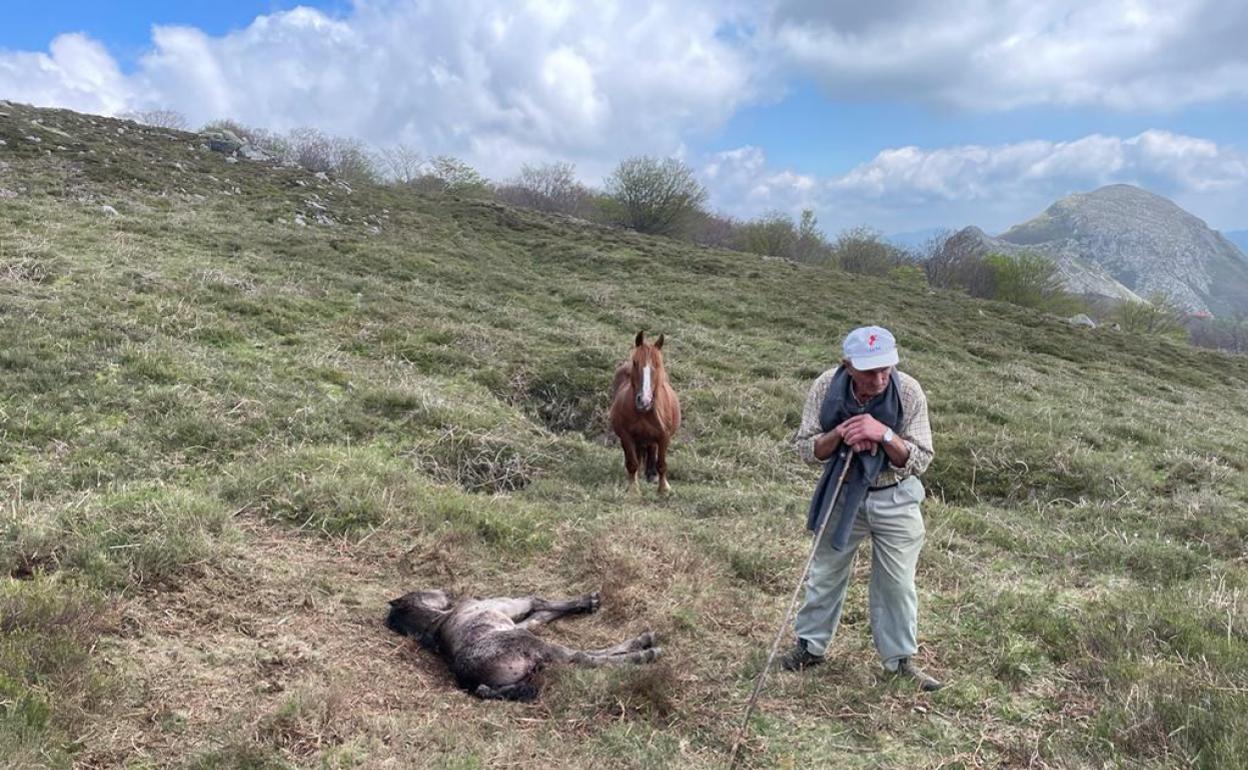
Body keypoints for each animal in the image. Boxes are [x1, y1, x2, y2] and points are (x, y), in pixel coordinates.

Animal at [606, 329, 678, 491]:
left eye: (658, 364)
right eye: (635, 362)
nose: (644, 401)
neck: (644, 413)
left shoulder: (664, 437)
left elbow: (662, 464)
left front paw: (664, 488)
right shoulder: (626, 436)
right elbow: (632, 463)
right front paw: (633, 488)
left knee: (651, 449)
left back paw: (651, 475)